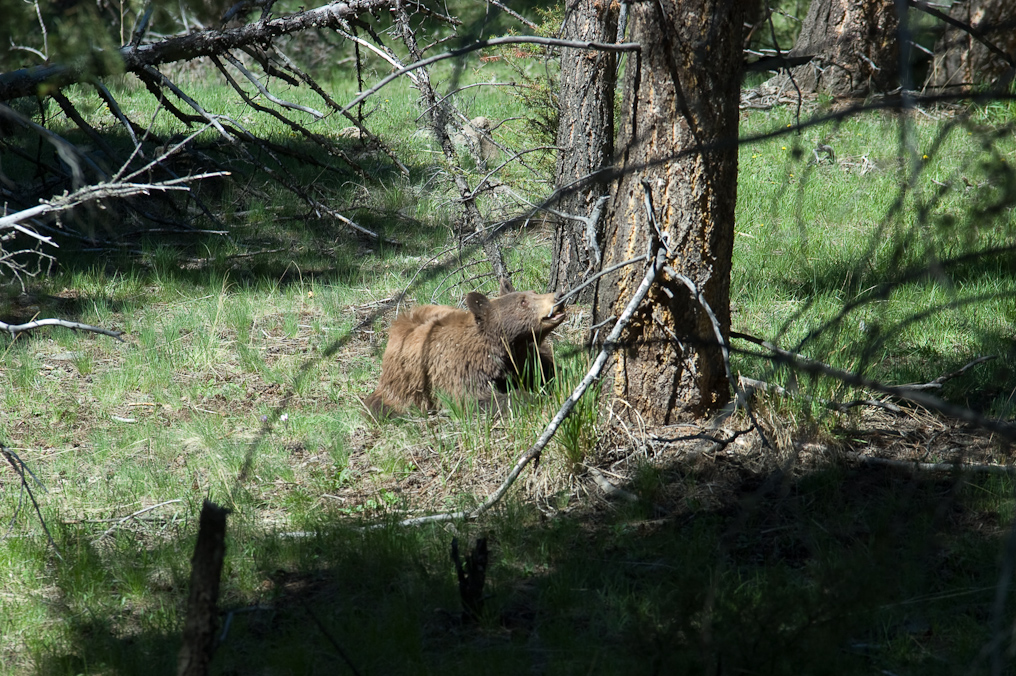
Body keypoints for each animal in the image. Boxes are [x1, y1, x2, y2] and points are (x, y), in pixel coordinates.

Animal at [364, 289, 566, 417]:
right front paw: (532, 397)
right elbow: (474, 399)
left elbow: (547, 369)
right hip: (399, 387)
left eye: (534, 292)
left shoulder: (525, 357)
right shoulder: (460, 369)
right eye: (523, 301)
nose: (558, 296)